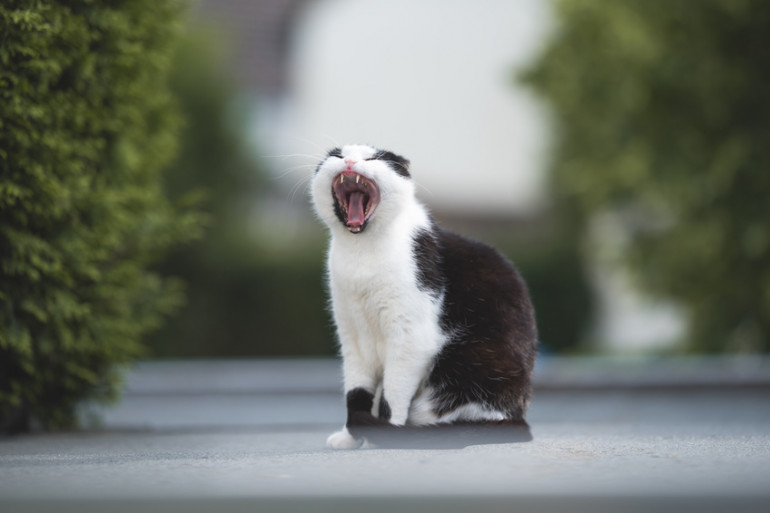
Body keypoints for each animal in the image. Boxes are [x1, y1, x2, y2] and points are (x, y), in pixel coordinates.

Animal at [308, 144, 536, 448]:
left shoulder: (411, 339)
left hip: (467, 364)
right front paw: (349, 438)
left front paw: (384, 434)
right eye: (337, 155)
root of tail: (517, 415)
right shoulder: (352, 338)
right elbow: (356, 392)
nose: (350, 162)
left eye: (374, 158)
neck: (360, 255)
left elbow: (391, 397)